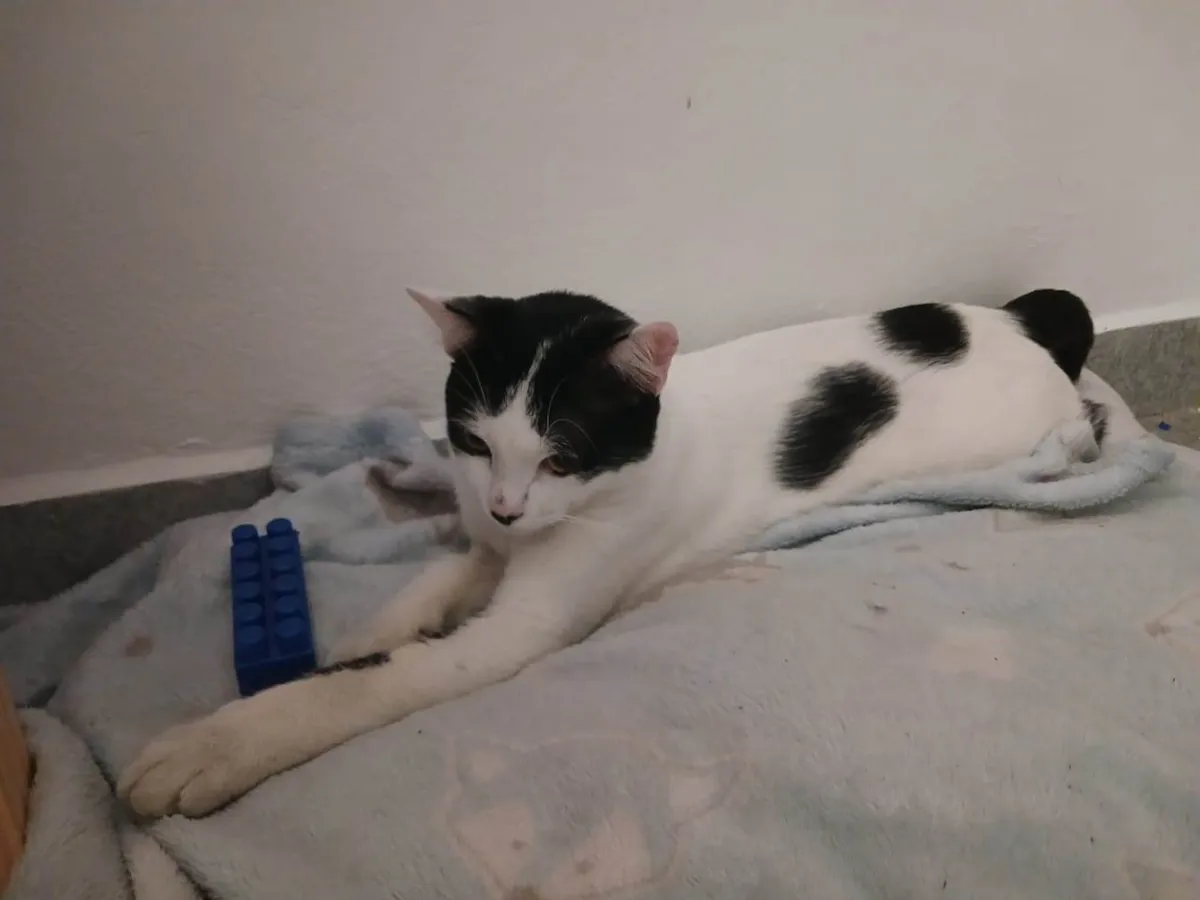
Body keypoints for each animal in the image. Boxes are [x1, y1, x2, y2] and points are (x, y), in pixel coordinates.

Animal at [119, 287, 1102, 818]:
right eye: (472, 443)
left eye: (561, 456)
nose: (507, 507)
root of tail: (1024, 329)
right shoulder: (487, 542)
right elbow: (433, 583)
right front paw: (365, 630)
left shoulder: (519, 625)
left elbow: (375, 682)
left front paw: (221, 742)